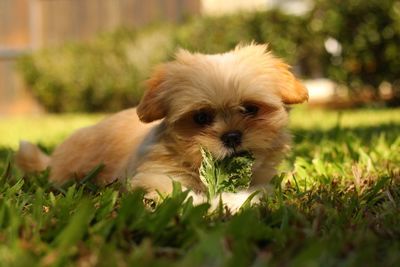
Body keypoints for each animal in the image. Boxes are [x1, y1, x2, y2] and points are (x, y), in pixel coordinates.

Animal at [15, 44, 308, 207]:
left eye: (250, 109)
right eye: (201, 117)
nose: (232, 136)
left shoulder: (262, 179)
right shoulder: (154, 175)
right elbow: (179, 192)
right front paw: (206, 205)